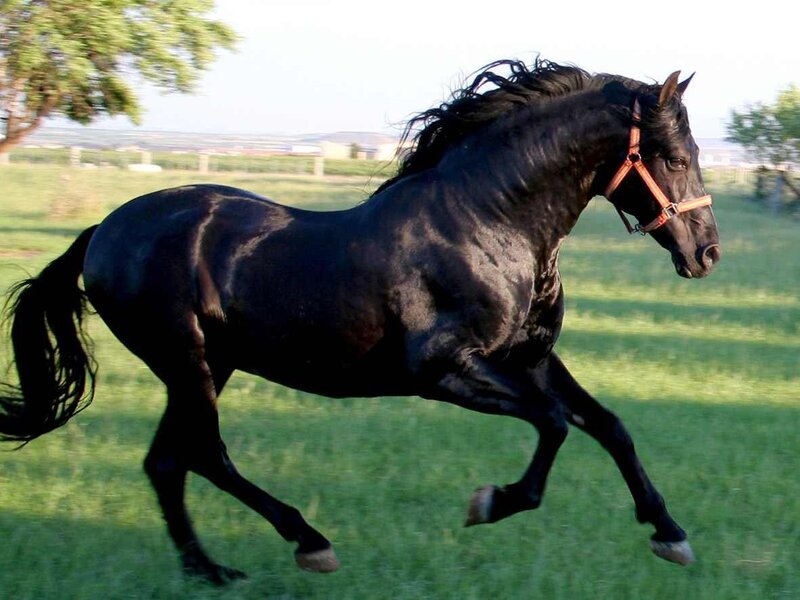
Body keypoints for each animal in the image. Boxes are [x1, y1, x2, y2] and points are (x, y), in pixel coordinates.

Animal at [0, 59, 720, 584]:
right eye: (675, 158)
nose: (706, 252)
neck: (490, 221)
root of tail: (103, 232)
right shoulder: (444, 370)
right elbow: (553, 424)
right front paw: (490, 502)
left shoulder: (532, 358)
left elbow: (609, 426)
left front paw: (671, 535)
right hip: (188, 363)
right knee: (203, 455)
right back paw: (307, 542)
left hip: (206, 367)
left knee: (166, 462)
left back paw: (209, 570)